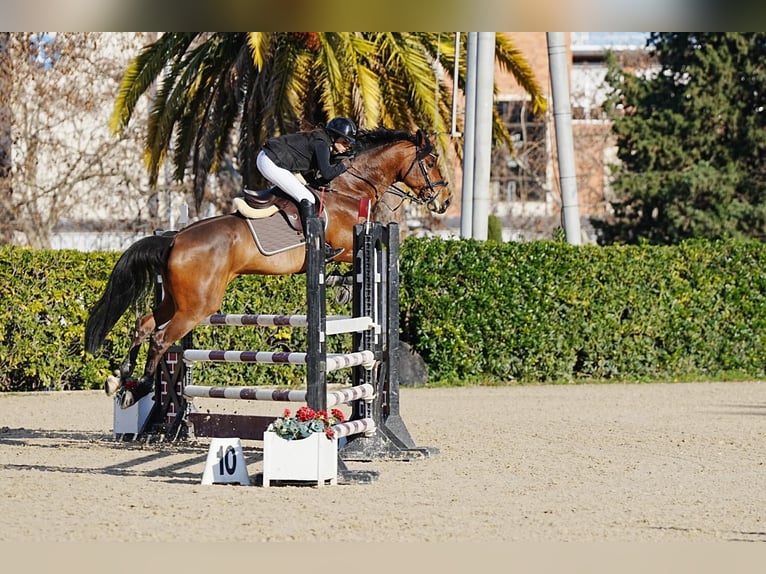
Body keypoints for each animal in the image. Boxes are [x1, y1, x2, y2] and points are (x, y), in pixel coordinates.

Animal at [85, 128, 451, 408]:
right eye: (431, 162)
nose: (444, 201)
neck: (350, 189)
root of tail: (174, 238)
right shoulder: (349, 243)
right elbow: (355, 254)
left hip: (176, 299)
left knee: (143, 324)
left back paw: (120, 380)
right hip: (197, 306)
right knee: (160, 338)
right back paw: (140, 389)